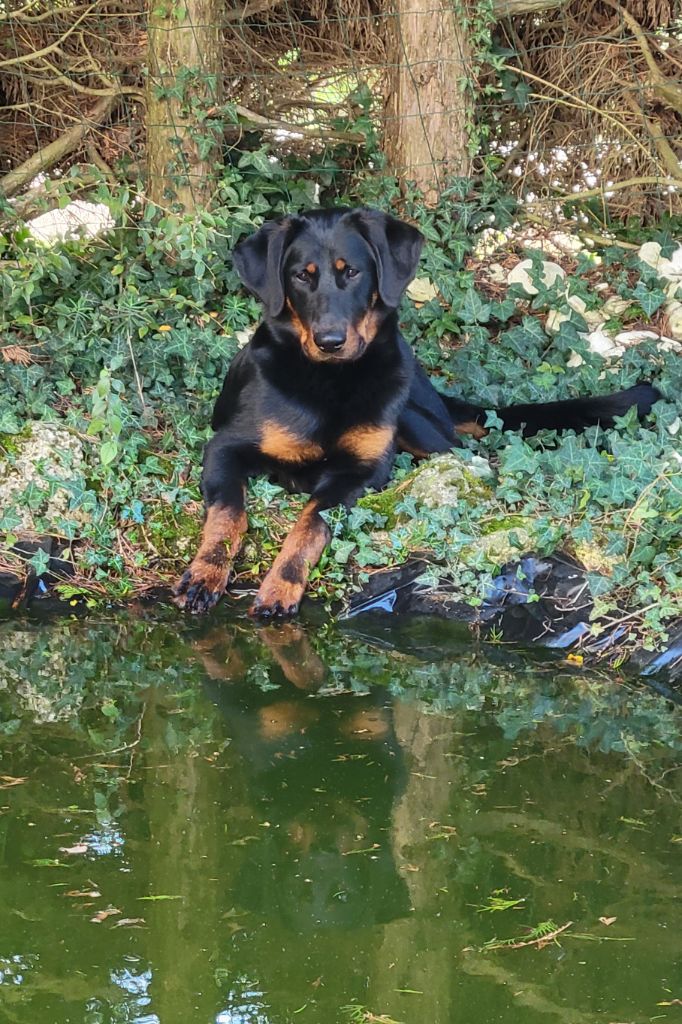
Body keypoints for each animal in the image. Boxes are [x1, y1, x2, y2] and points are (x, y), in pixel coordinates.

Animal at [174, 203, 659, 610]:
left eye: (352, 272)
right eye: (301, 276)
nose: (330, 341)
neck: (329, 381)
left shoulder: (362, 471)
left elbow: (310, 524)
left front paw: (281, 583)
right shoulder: (225, 447)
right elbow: (227, 515)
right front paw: (205, 574)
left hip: (419, 421)